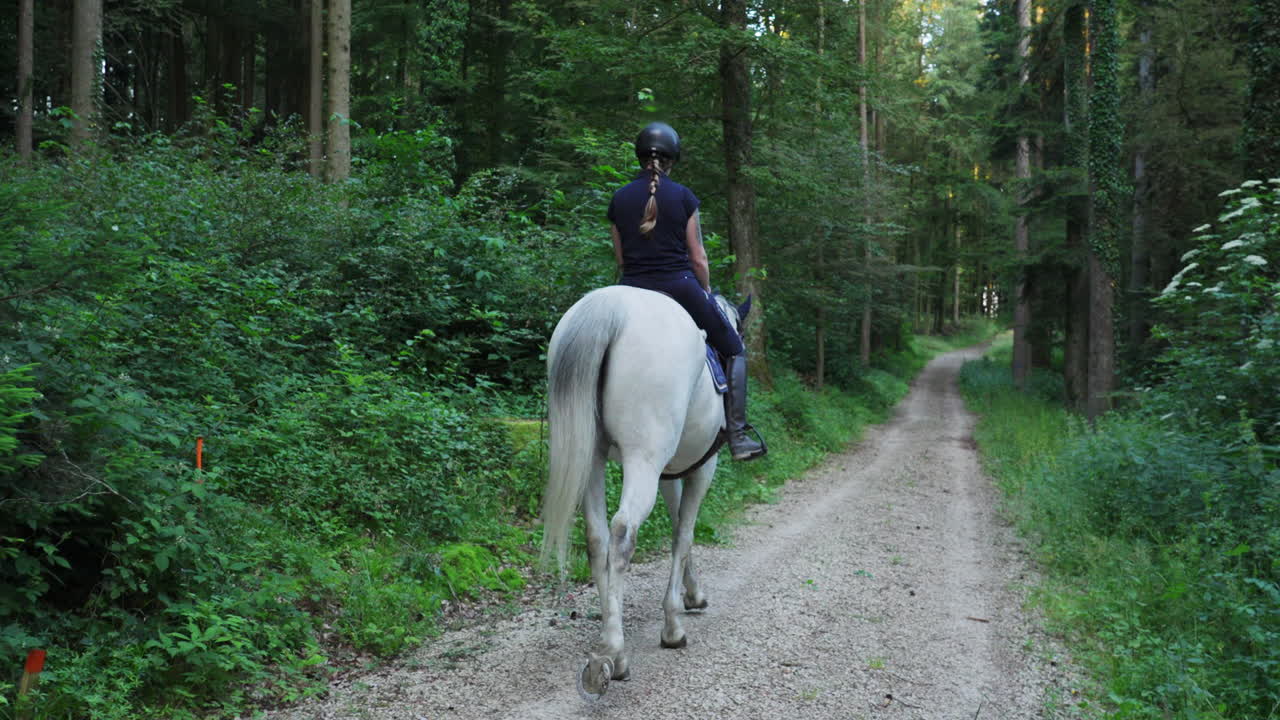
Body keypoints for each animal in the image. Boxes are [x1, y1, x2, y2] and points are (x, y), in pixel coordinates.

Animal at [541, 284, 750, 699]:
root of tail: (608, 307)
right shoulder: (702, 468)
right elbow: (684, 534)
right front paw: (673, 625)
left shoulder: (671, 472)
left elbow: (677, 527)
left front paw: (693, 594)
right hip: (643, 457)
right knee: (622, 533)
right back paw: (617, 656)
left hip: (592, 456)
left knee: (597, 538)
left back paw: (610, 641)